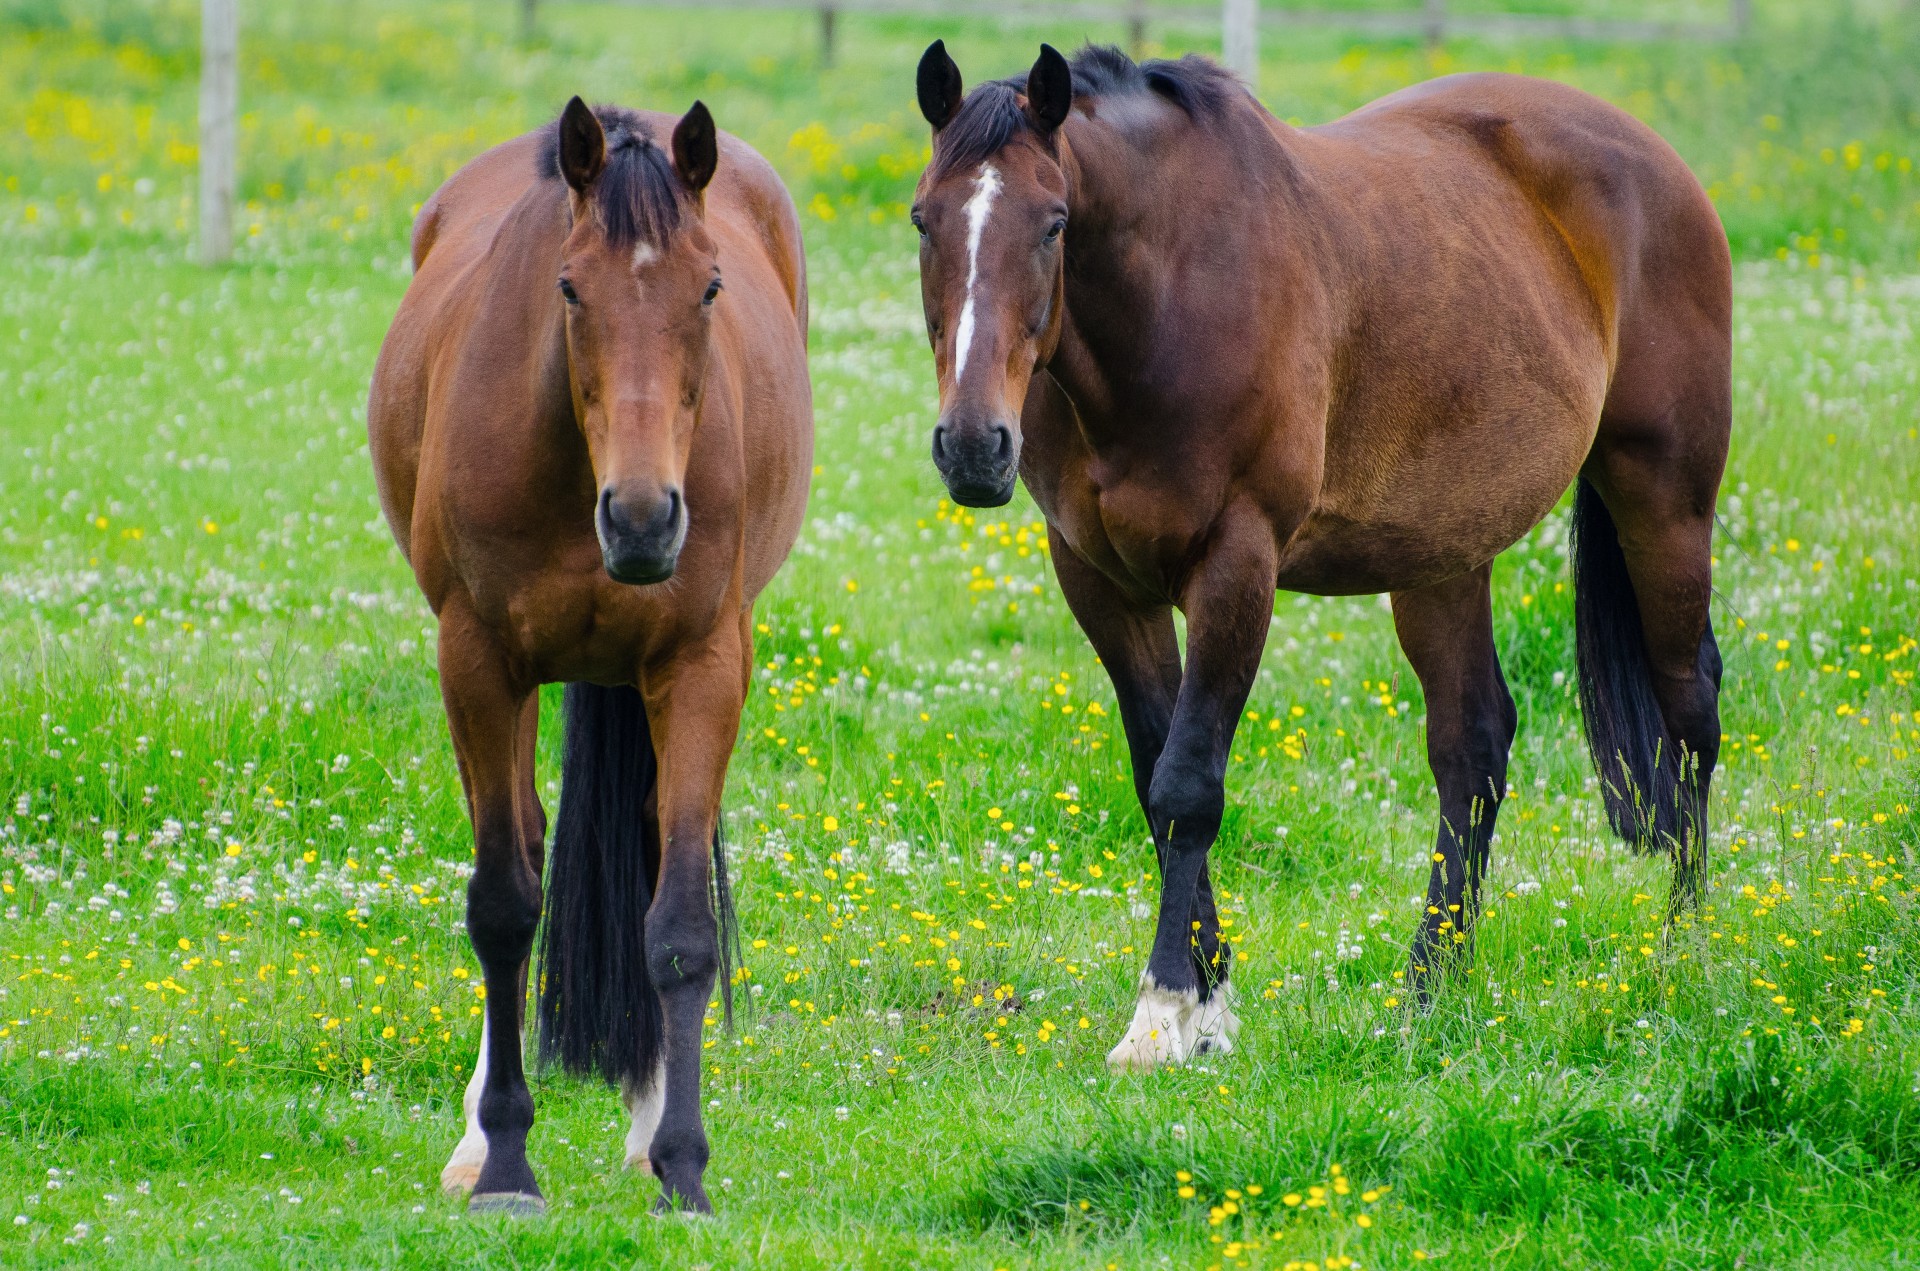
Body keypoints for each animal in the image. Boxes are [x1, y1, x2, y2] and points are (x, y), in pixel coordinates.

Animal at [366, 96, 810, 1213]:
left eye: (710, 285)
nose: (644, 518)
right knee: (519, 851)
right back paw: (478, 1137)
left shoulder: (702, 667)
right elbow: (502, 903)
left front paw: (683, 1167)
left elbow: (681, 924)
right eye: (570, 286)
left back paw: (648, 1128)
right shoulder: (478, 664)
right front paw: (505, 1163)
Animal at [906, 44, 1735, 1067]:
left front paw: (1163, 1012)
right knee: (1473, 747)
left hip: (1664, 500)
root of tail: (1660, 164)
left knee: (1689, 713)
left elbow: (1187, 785)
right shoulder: (1100, 580)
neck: (1170, 300)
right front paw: (1211, 1003)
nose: (973, 447)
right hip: (1443, 556)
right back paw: (1429, 986)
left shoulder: (1236, 564)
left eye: (1055, 224)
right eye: (924, 218)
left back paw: (1683, 953)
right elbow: (1152, 779)